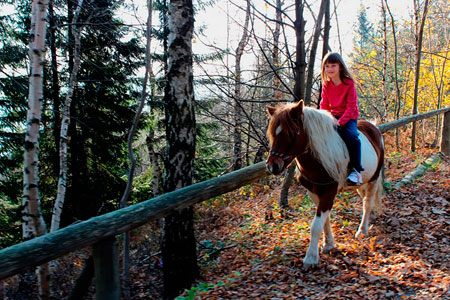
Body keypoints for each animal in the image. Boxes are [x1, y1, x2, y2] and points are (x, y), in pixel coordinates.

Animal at [266, 101, 384, 270]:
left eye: (292, 134)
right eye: (273, 134)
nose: (273, 166)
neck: (318, 158)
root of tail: (374, 127)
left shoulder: (329, 191)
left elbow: (316, 226)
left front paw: (311, 258)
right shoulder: (313, 192)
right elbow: (324, 221)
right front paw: (328, 244)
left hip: (374, 178)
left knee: (367, 203)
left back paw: (362, 230)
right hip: (362, 182)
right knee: (365, 198)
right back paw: (371, 217)